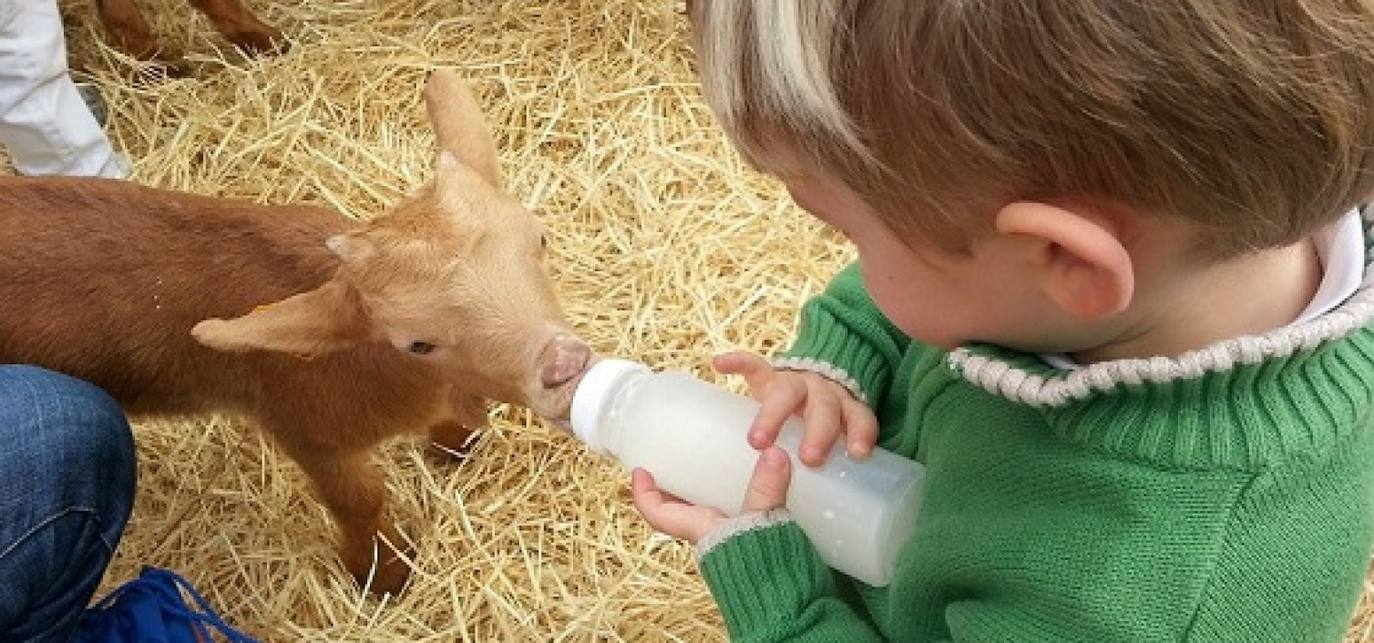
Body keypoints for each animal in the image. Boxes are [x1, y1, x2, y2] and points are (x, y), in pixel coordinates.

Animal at [0, 70, 585, 593]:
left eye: (541, 240)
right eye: (417, 342)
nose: (564, 365)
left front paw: (455, 443)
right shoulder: (304, 426)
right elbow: (360, 500)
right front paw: (383, 573)